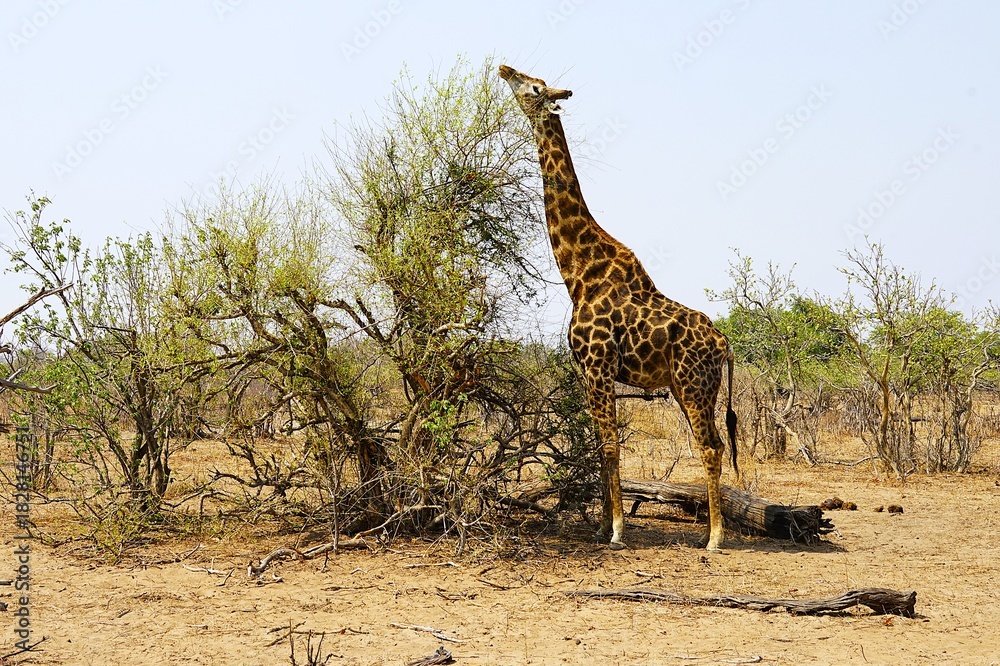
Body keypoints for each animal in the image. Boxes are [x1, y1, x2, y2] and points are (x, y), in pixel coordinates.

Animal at [499, 65, 738, 551]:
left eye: (532, 87)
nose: (503, 68)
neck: (578, 273)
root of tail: (724, 343)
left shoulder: (598, 363)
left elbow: (610, 444)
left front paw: (616, 532)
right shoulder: (586, 369)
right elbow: (598, 444)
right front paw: (599, 527)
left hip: (694, 384)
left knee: (710, 446)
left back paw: (715, 538)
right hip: (688, 386)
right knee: (715, 445)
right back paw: (706, 531)